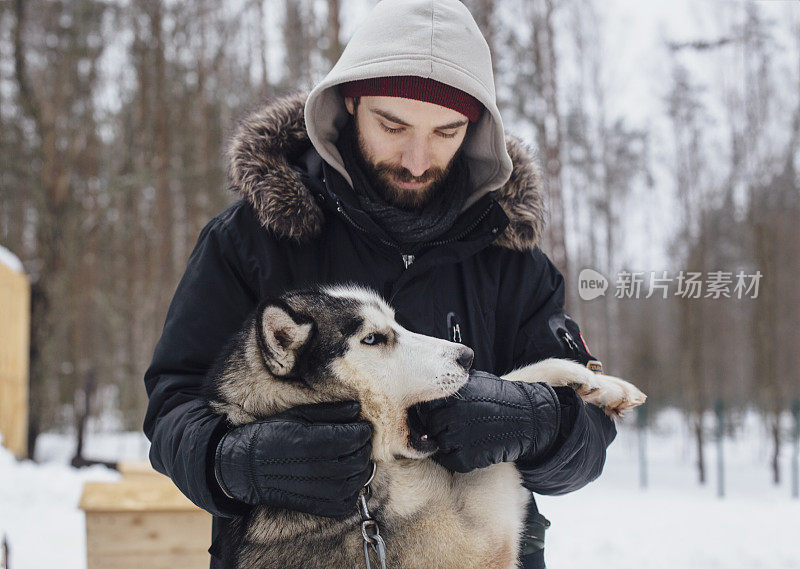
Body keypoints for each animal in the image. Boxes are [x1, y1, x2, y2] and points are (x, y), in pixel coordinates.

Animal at [205, 284, 644, 568]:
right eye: (373, 339)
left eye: (397, 325)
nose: (467, 356)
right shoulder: (484, 541)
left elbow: (520, 373)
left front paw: (601, 385)